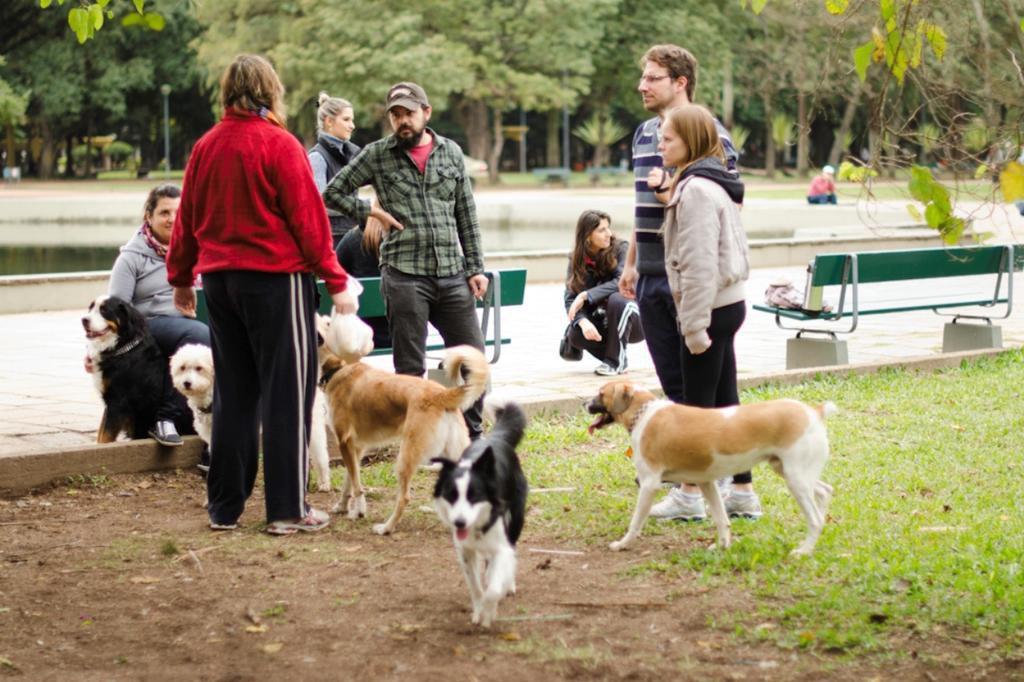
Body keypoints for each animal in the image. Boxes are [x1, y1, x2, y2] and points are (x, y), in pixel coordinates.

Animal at [81, 294, 165, 444]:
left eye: (104, 310)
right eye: (91, 308)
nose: (84, 320)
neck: (122, 349)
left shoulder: (118, 401)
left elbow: (105, 436)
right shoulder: (110, 401)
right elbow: (101, 432)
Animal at [169, 342, 331, 491]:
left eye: (199, 368)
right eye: (182, 367)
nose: (186, 383)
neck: (212, 398)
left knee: (321, 456)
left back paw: (324, 483)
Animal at [430, 399, 528, 626]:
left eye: (474, 496)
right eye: (451, 496)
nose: (459, 522)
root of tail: (494, 438)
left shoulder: (501, 544)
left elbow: (493, 589)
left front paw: (489, 611)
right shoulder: (465, 550)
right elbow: (475, 586)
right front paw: (478, 610)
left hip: (516, 518)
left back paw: (507, 583)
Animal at [589, 378, 835, 557]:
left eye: (601, 393)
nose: (584, 404)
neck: (644, 413)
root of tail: (813, 412)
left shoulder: (649, 484)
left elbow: (635, 521)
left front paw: (623, 543)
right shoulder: (706, 482)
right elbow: (721, 518)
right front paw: (722, 546)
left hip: (796, 480)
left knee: (814, 519)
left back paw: (804, 551)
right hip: (790, 472)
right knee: (825, 491)